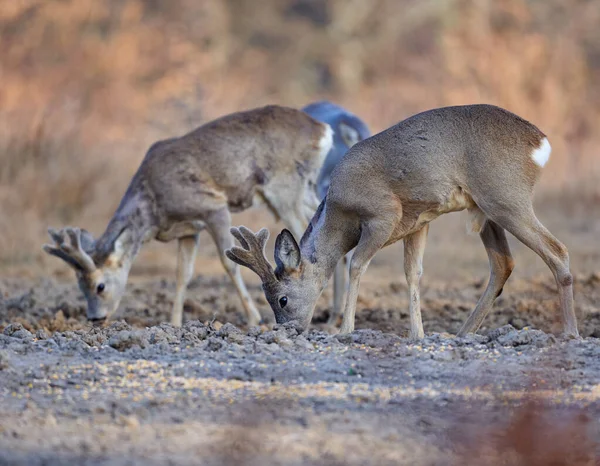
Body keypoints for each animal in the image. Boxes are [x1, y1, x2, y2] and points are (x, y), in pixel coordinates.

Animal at [42, 104, 332, 328]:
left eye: (100, 286)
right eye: (79, 286)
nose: (95, 318)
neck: (154, 208)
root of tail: (322, 130)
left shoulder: (213, 206)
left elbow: (228, 263)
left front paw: (254, 318)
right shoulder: (189, 230)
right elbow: (183, 273)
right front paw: (174, 323)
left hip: (284, 189)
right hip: (305, 189)